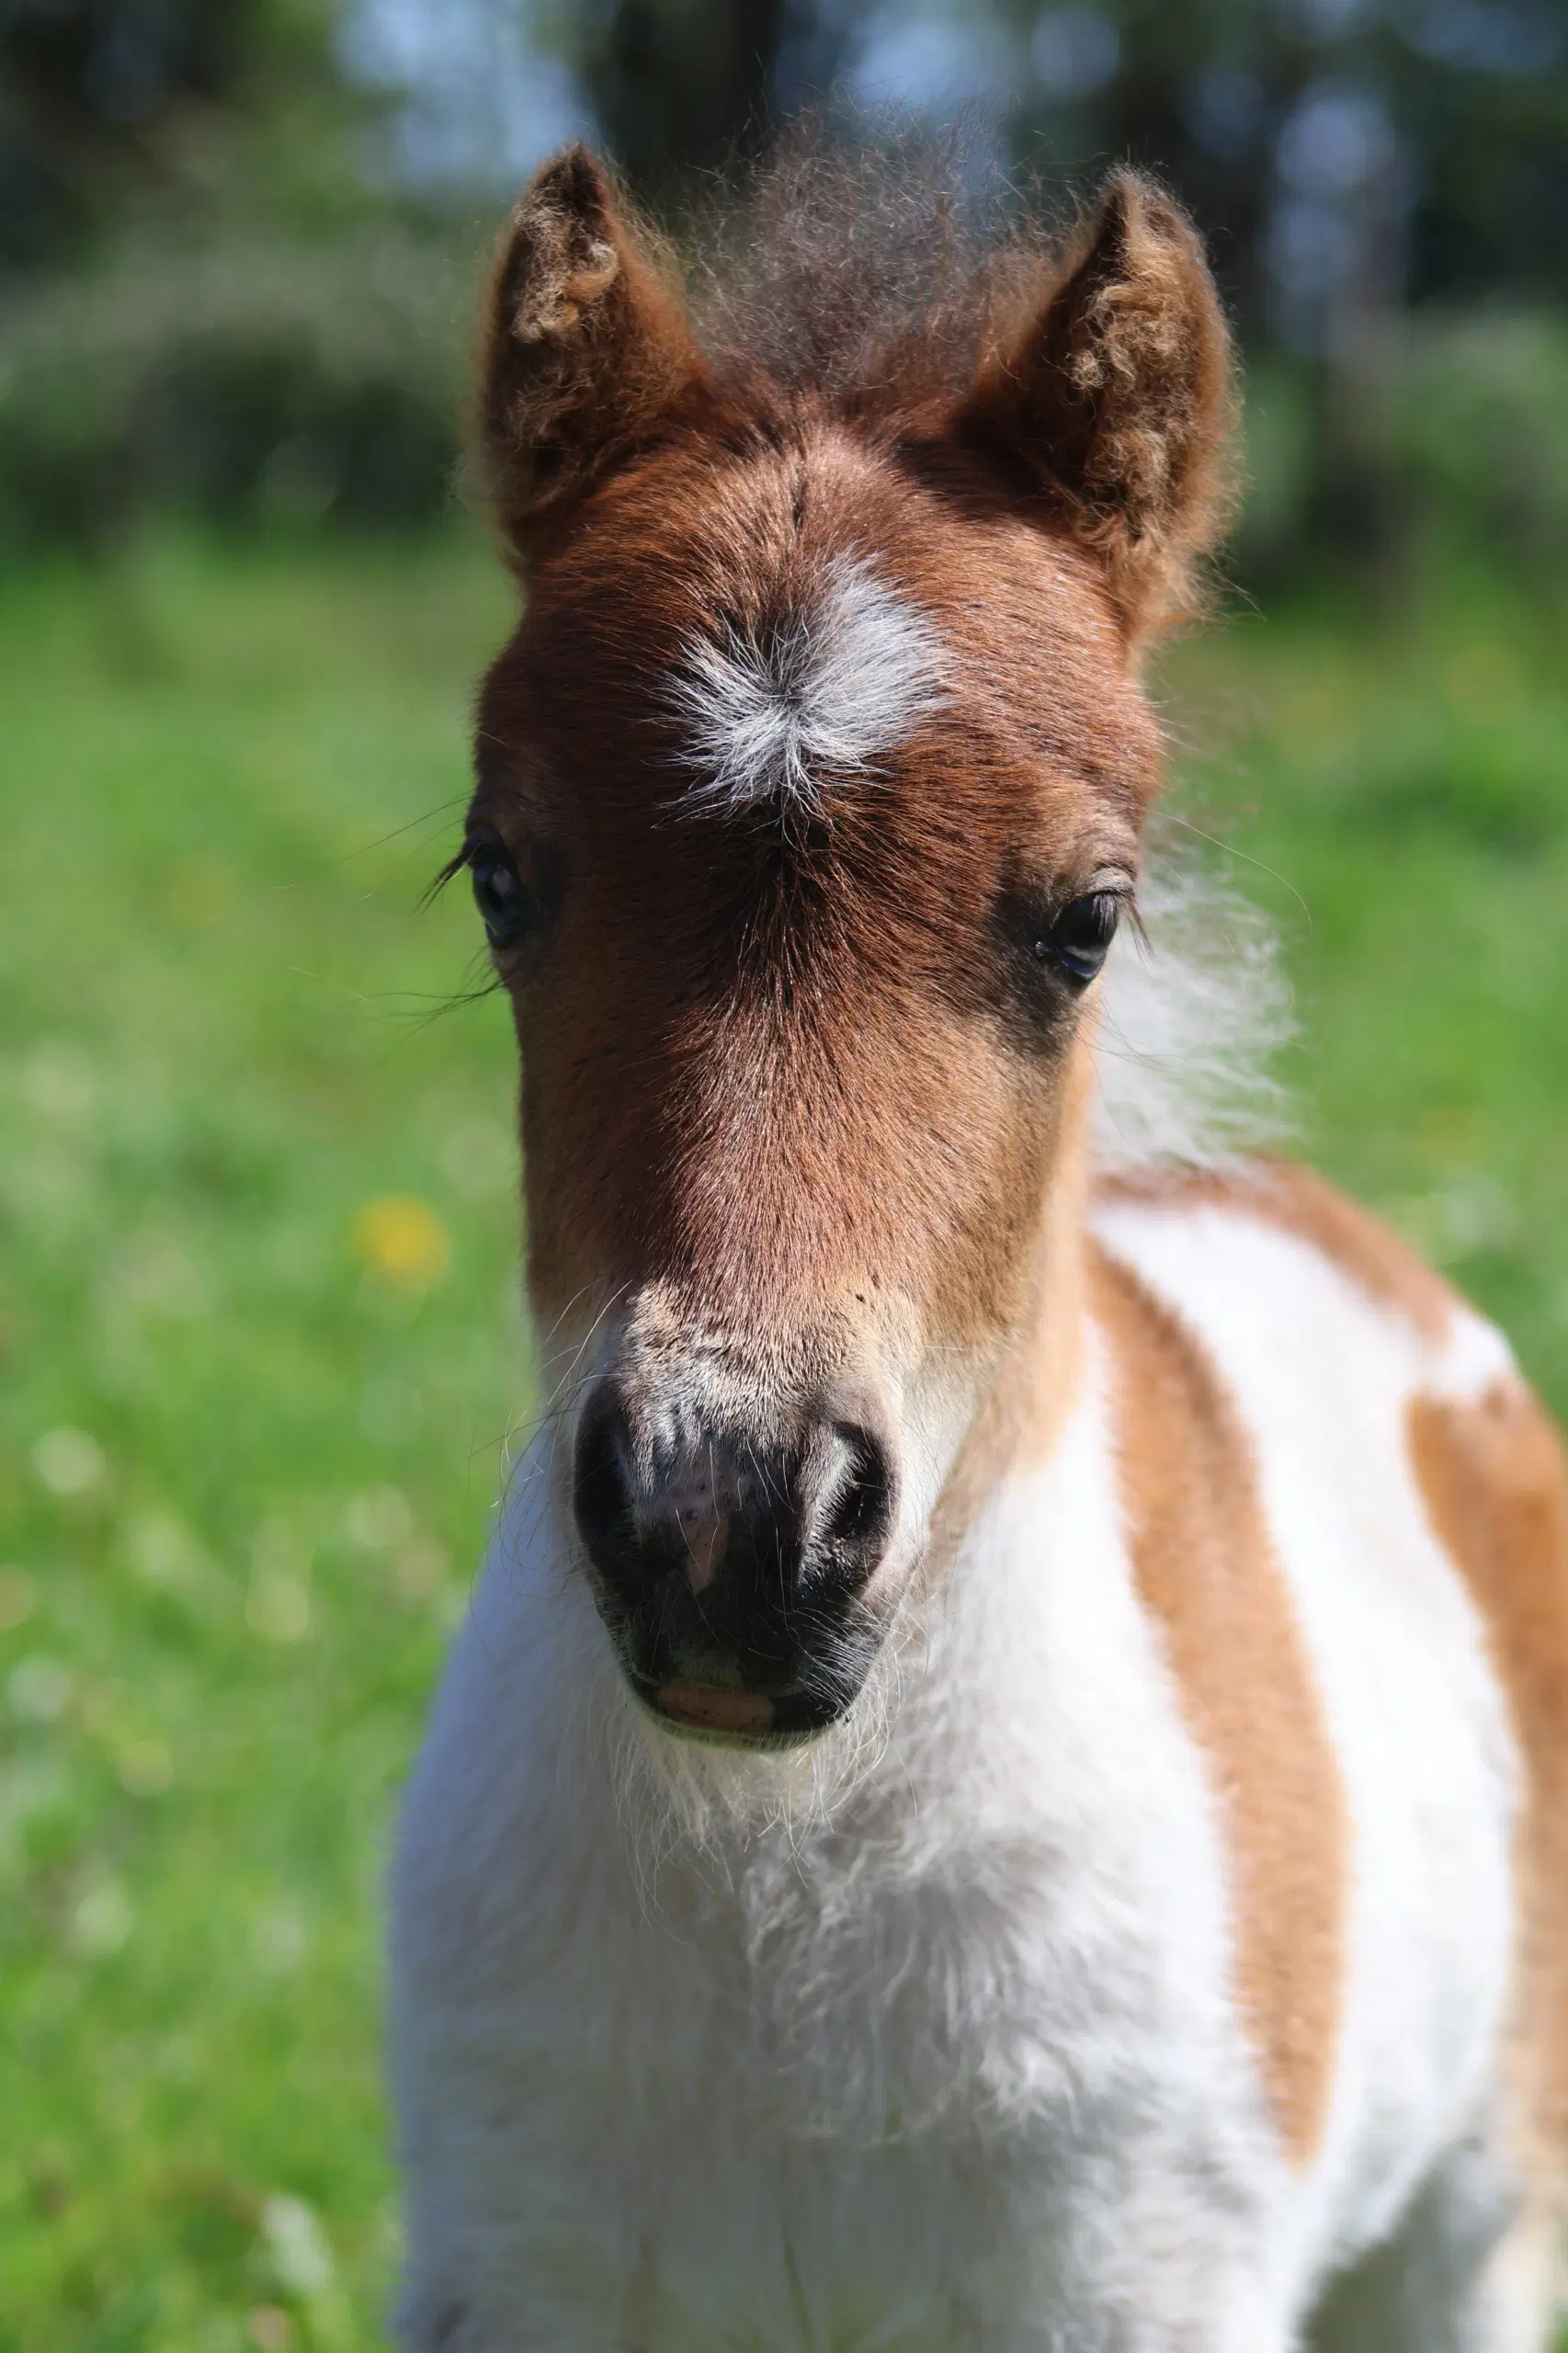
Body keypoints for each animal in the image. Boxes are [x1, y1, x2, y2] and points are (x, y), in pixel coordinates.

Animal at [391, 152, 1562, 2353]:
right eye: (499, 875)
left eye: (1088, 917)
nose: (726, 1526)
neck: (781, 1899)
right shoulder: (518, 2266)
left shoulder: (1137, 2278)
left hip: (1481, 2222)